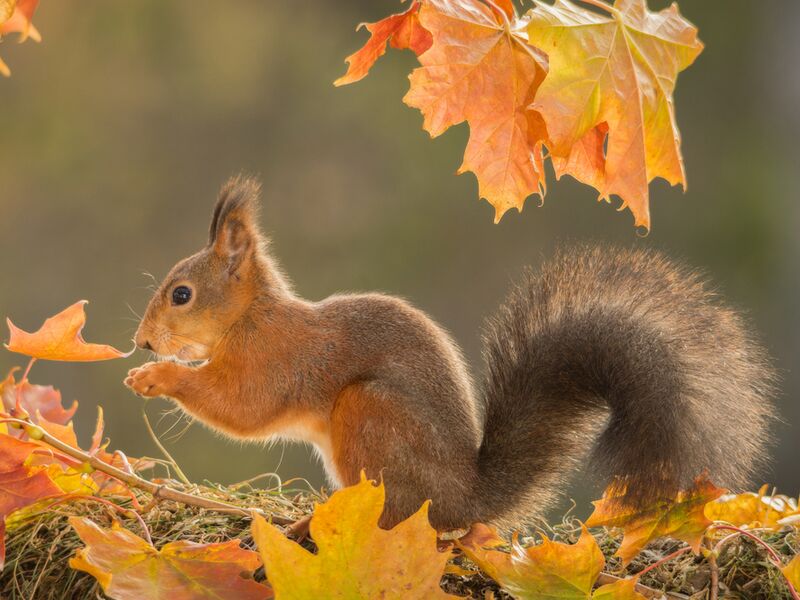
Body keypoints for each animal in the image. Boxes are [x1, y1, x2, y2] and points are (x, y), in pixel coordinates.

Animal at [123, 176, 776, 532]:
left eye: (182, 294)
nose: (142, 341)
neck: (250, 319)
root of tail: (466, 500)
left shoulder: (277, 361)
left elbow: (241, 408)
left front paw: (156, 377)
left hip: (369, 415)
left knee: (402, 515)